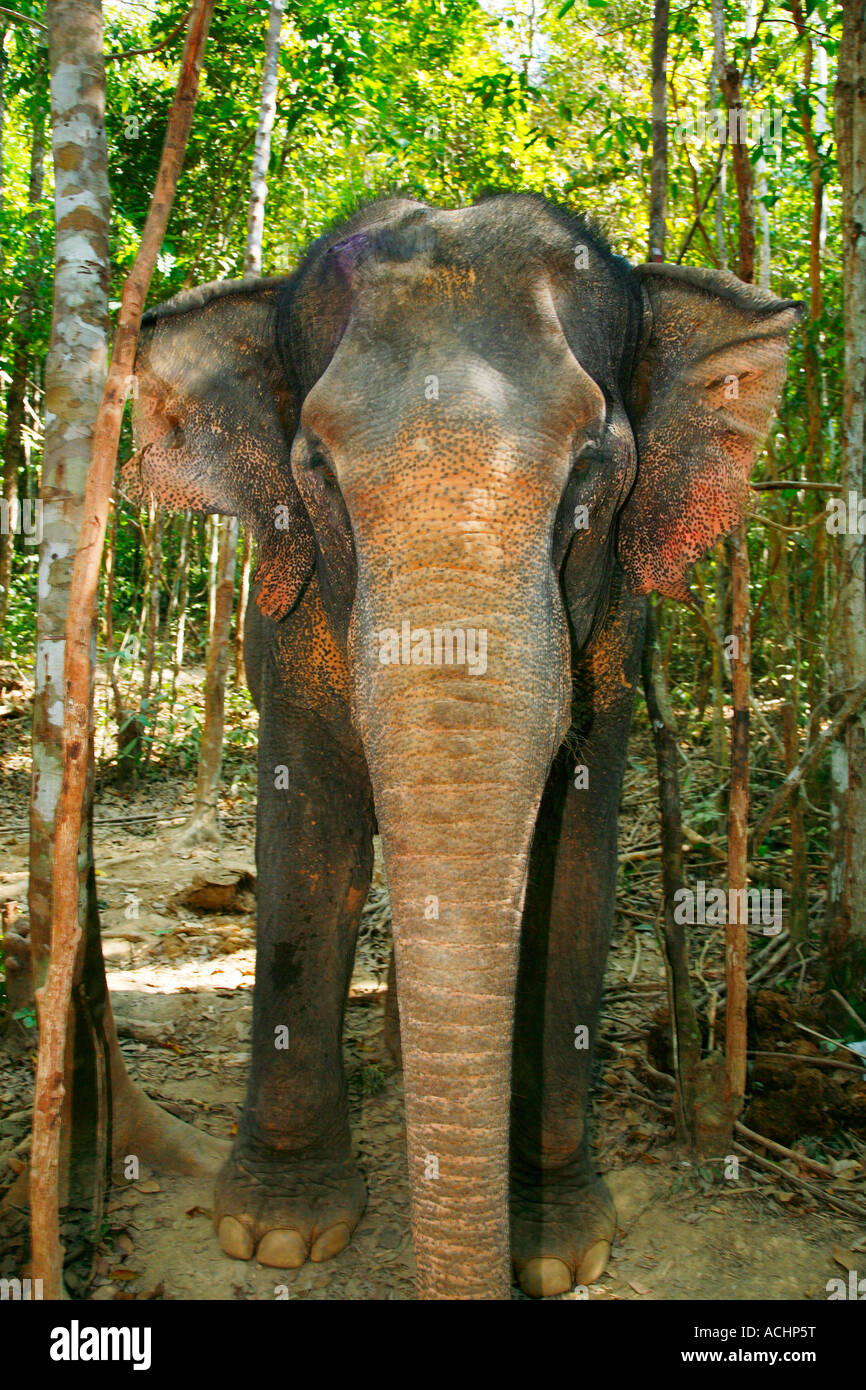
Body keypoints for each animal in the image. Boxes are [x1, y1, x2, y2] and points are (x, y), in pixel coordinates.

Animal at [120, 198, 800, 1301]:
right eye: (315, 469)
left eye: (590, 467)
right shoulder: (289, 626)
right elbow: (307, 853)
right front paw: (276, 1233)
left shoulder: (616, 638)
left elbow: (574, 870)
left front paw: (557, 1248)